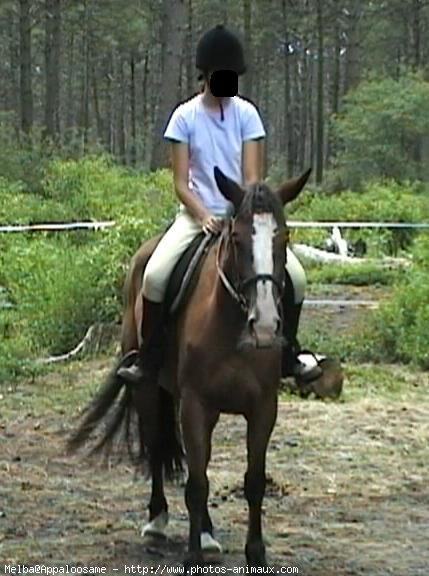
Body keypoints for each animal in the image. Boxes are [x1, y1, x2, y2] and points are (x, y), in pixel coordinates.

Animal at [68, 165, 312, 568]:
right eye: (237, 239)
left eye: (284, 237)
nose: (264, 326)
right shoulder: (197, 405)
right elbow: (197, 483)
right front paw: (193, 554)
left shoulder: (263, 408)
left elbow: (254, 481)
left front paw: (255, 554)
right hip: (149, 389)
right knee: (157, 447)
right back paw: (157, 521)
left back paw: (209, 533)